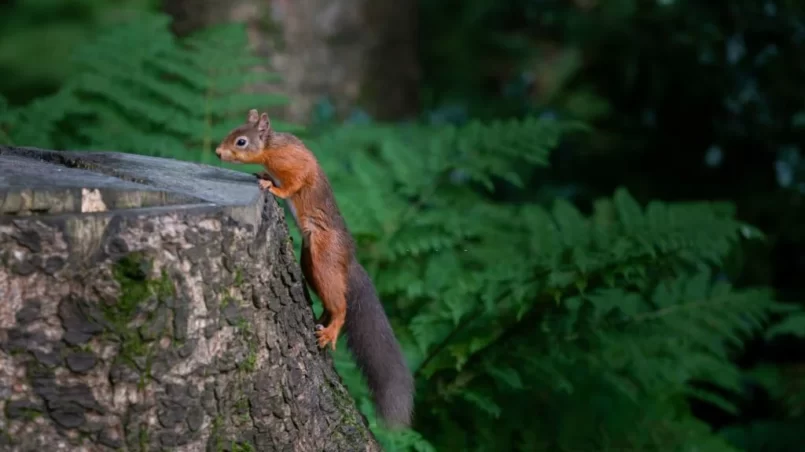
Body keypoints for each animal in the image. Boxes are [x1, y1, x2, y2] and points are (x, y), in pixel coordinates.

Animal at [214, 109, 414, 428]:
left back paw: (331, 330)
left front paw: (271, 186)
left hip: (323, 259)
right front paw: (262, 175)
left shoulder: (296, 164)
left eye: (241, 141)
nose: (218, 152)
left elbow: (294, 184)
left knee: (341, 304)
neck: (272, 147)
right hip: (309, 263)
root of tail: (349, 260)